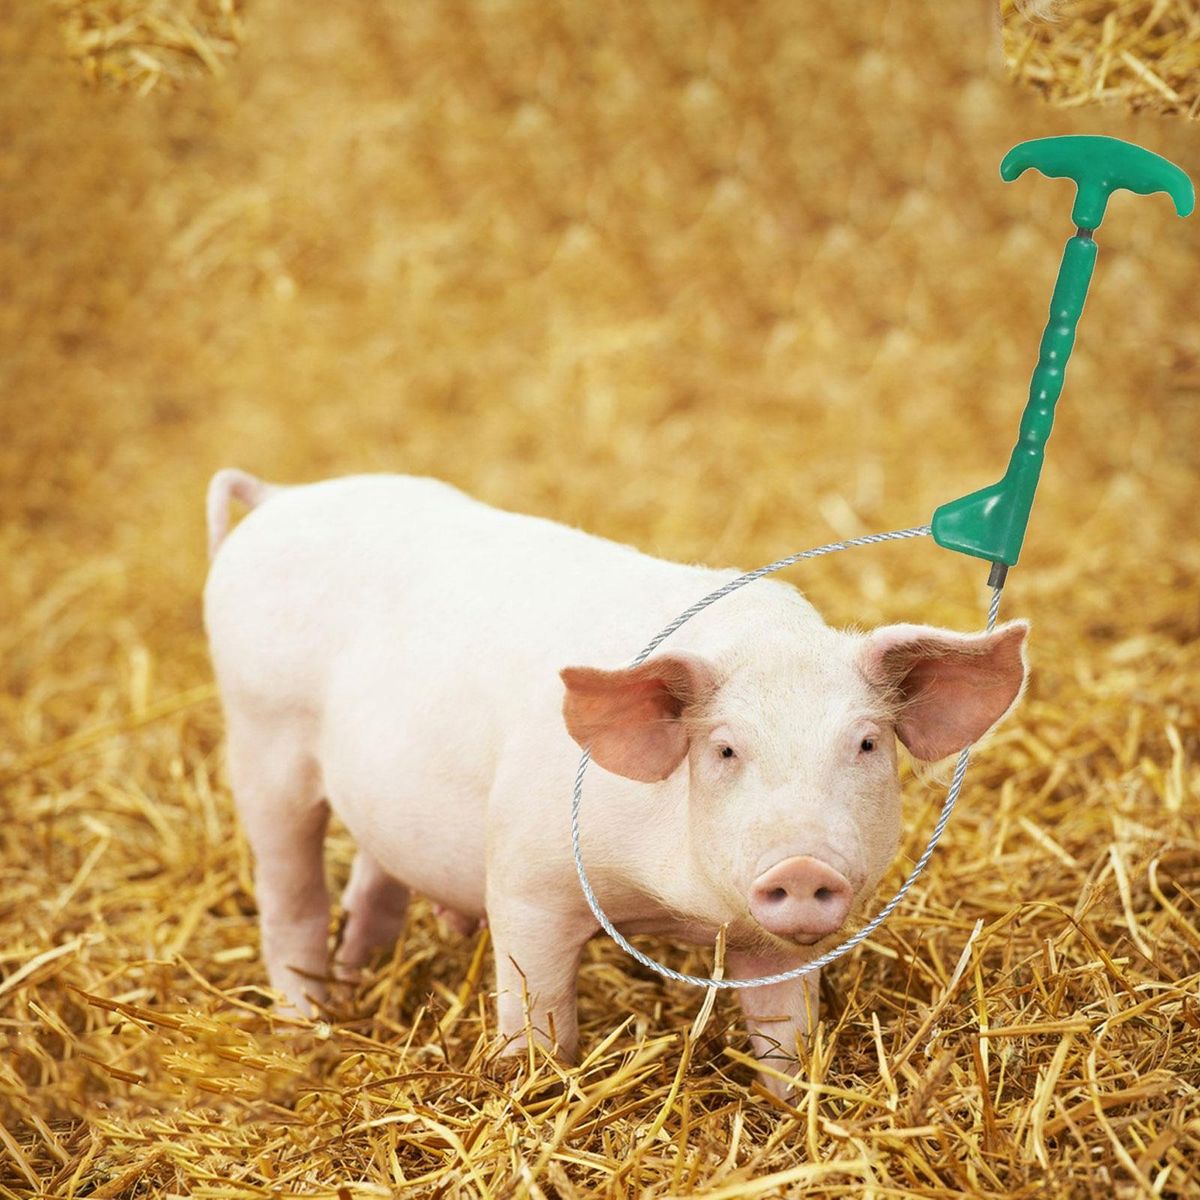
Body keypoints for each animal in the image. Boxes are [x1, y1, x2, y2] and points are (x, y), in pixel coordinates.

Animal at [203, 470, 1028, 1094]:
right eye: (725, 750)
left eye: (864, 743)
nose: (800, 865)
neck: (672, 910)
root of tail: (276, 498)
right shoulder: (527, 877)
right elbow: (536, 1010)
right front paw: (531, 1087)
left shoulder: (781, 943)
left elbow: (785, 1032)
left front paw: (790, 1107)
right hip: (260, 738)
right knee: (290, 893)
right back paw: (309, 1017)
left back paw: (359, 972)